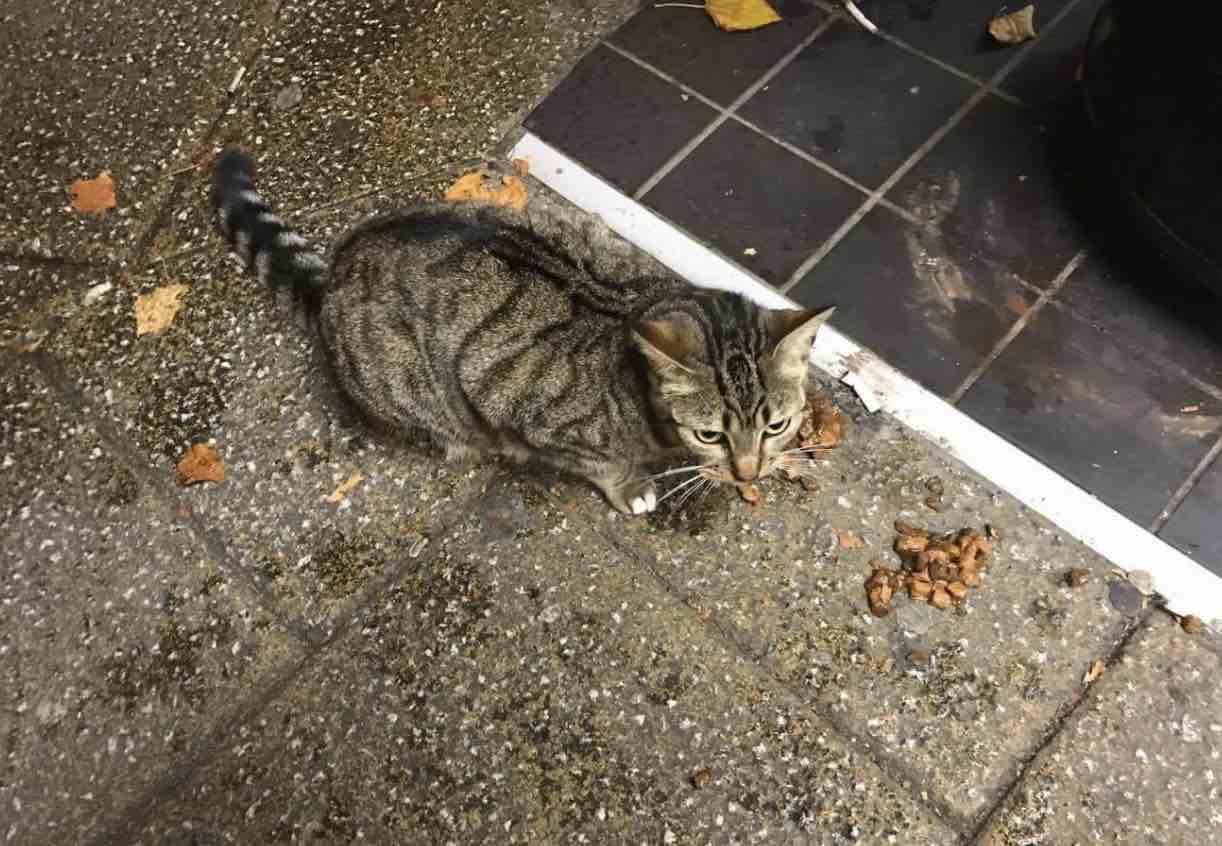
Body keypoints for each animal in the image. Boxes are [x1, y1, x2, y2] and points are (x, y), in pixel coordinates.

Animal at [212, 148, 830, 511]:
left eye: (776, 426)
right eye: (710, 435)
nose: (750, 471)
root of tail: (334, 274)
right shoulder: (518, 402)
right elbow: (600, 463)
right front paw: (631, 486)